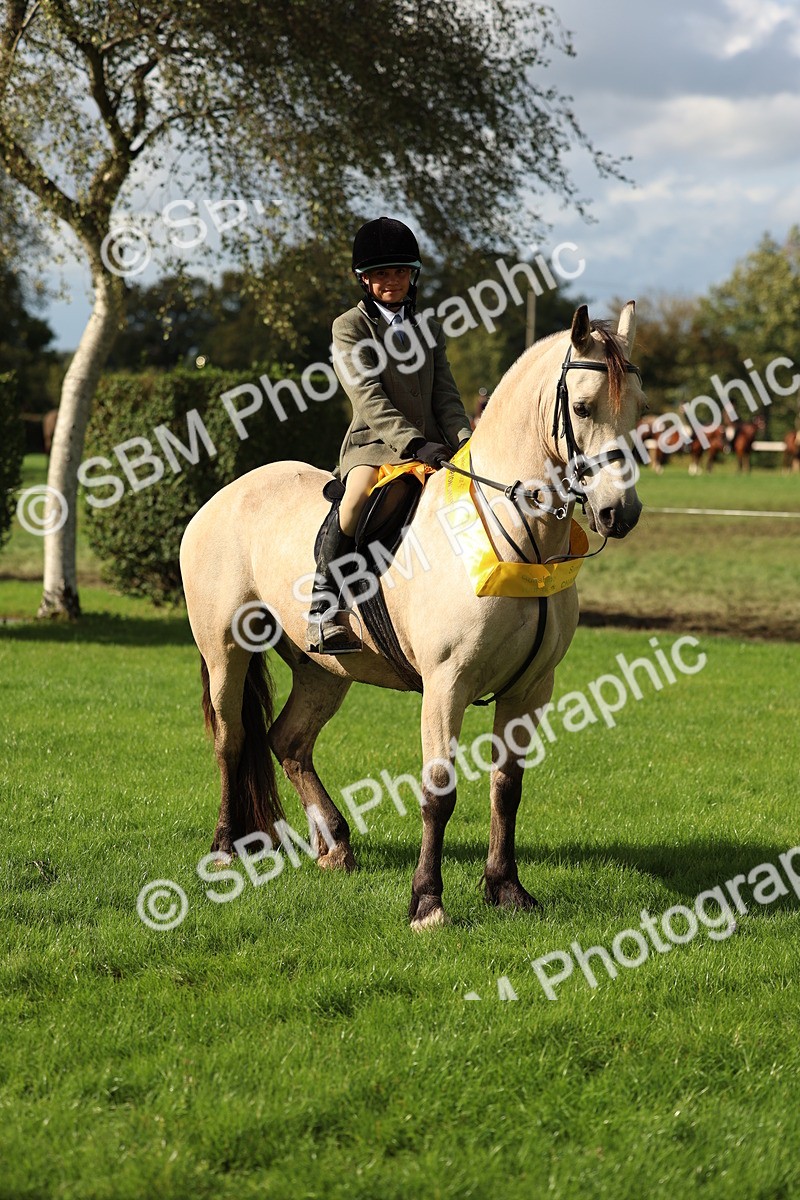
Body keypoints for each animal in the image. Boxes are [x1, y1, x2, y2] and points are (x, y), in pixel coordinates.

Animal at [179, 302, 646, 929]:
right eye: (582, 407)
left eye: (639, 407)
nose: (620, 513)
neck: (512, 538)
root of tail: (223, 496)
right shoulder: (447, 685)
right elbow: (439, 791)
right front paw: (427, 902)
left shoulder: (531, 688)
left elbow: (508, 787)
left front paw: (506, 888)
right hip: (225, 650)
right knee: (232, 740)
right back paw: (227, 848)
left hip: (324, 670)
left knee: (289, 742)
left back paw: (335, 845)